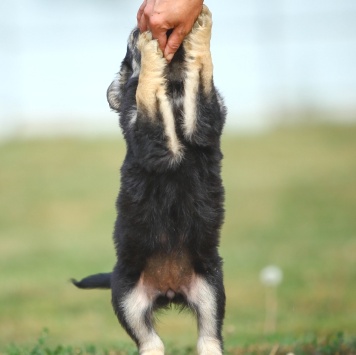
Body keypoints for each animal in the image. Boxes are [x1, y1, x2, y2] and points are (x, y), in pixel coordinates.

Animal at [72, 5, 227, 355]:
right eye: (129, 47)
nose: (137, 28)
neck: (174, 86)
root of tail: (169, 289)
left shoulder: (204, 125)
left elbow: (202, 73)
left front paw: (200, 28)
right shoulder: (153, 142)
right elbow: (145, 90)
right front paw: (148, 50)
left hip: (211, 289)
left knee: (208, 337)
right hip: (127, 298)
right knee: (150, 341)